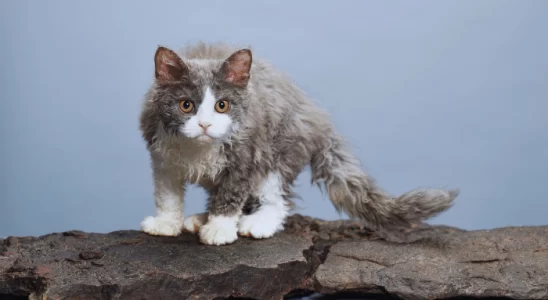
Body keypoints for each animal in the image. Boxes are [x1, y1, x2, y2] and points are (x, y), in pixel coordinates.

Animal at [138, 41, 458, 245]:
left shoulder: (247, 154)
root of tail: (318, 117)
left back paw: (256, 223)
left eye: (222, 105)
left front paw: (219, 229)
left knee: (278, 201)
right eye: (186, 105)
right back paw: (199, 219)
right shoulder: (162, 155)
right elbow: (167, 195)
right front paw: (166, 224)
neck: (198, 149)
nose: (205, 125)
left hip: (279, 152)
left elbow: (230, 197)